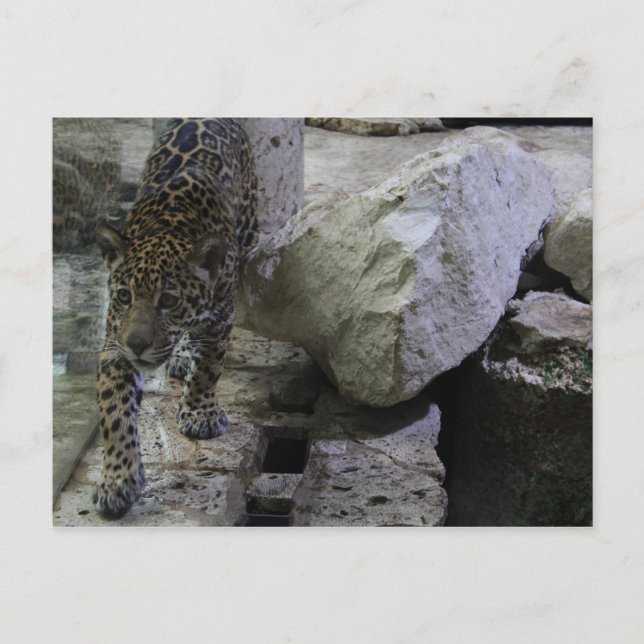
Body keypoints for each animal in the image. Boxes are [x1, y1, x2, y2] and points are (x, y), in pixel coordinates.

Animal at [93, 118, 258, 515]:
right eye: (124, 296)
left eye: (169, 300)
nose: (137, 345)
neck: (168, 225)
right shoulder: (114, 344)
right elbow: (114, 410)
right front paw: (118, 479)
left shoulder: (222, 315)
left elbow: (210, 366)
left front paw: (200, 414)